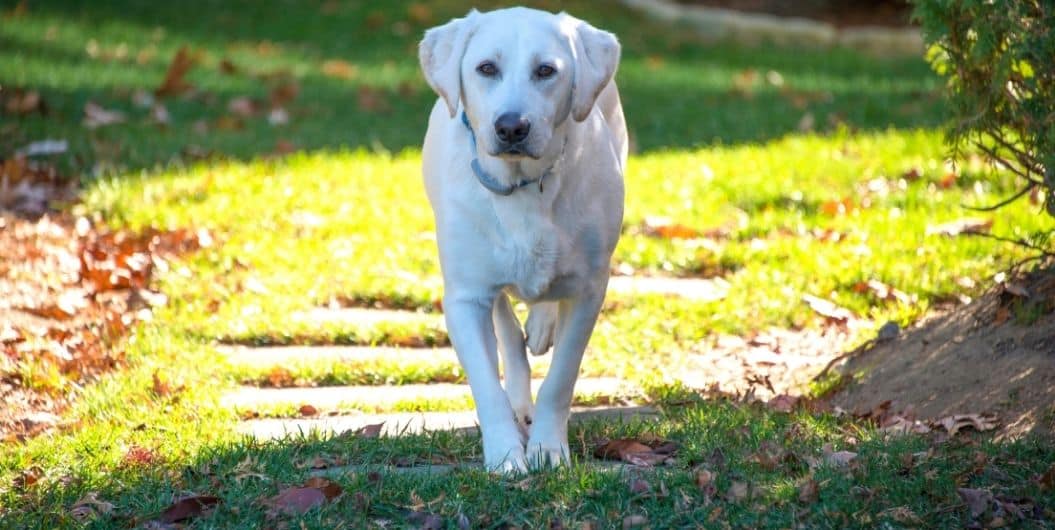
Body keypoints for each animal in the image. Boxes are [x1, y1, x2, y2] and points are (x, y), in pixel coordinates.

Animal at [415, 7, 620, 472]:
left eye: (546, 71)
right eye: (486, 68)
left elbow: (561, 378)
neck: (523, 186)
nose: (512, 126)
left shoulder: (589, 288)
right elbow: (487, 384)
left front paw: (548, 448)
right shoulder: (465, 296)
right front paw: (507, 455)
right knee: (507, 327)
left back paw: (541, 326)